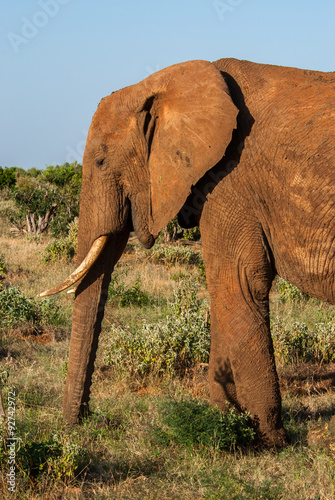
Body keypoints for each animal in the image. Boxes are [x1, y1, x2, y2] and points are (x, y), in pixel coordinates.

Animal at [41, 59, 335, 450]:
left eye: (101, 161)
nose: (82, 424)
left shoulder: (230, 179)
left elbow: (238, 282)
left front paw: (264, 441)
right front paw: (226, 422)